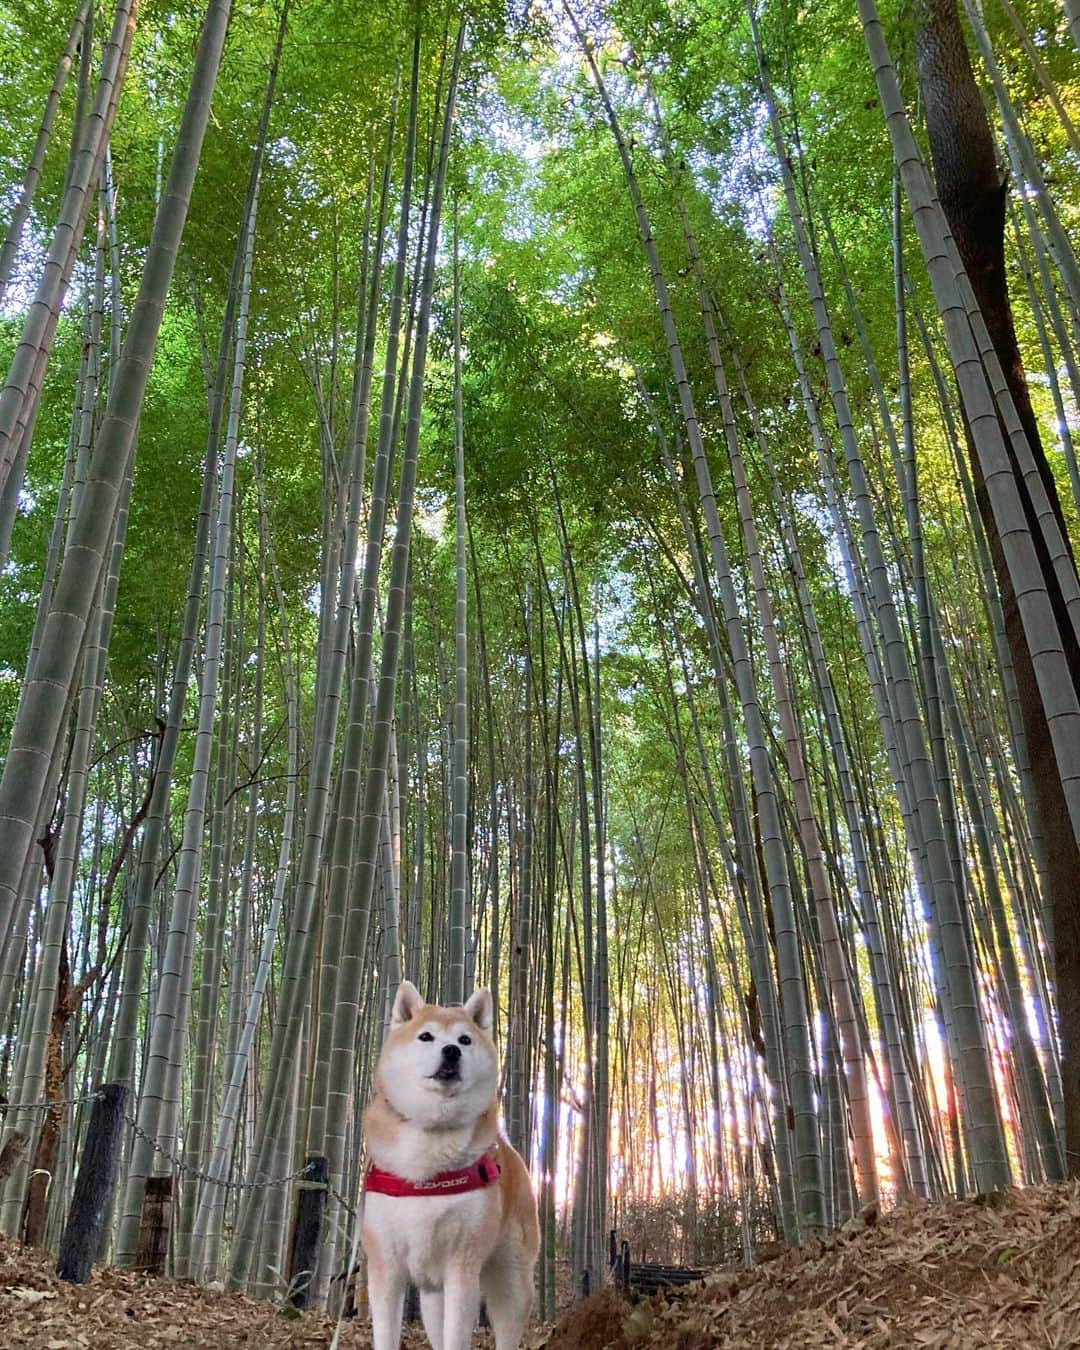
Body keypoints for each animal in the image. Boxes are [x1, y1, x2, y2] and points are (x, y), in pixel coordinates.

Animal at [361, 982, 537, 1350]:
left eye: (465, 1039)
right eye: (426, 1036)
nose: (452, 1051)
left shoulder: (462, 1266)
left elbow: (458, 1336)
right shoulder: (385, 1265)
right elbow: (386, 1332)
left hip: (512, 1282)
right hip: (432, 1294)